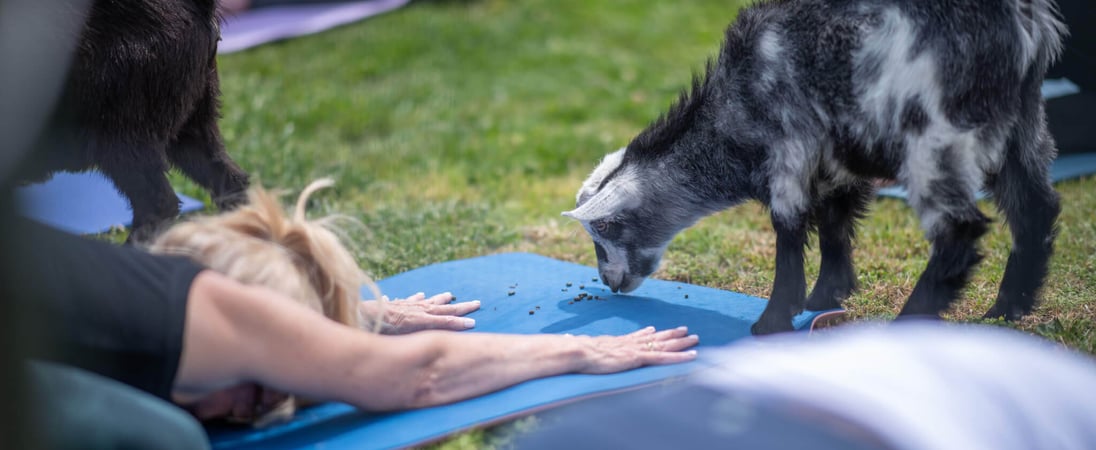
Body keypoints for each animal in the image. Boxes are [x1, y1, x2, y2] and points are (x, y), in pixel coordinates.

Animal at [565, 0, 1060, 335]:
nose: (609, 282)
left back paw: (910, 320)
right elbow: (834, 225)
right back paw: (1007, 310)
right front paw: (826, 296)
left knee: (960, 229)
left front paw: (774, 319)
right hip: (1023, 122)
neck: (734, 111)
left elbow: (789, 232)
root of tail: (1025, 23)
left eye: (605, 227)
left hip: (932, 132)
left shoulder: (790, 151)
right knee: (1035, 208)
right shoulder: (835, 165)